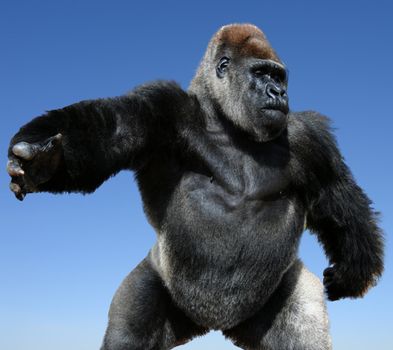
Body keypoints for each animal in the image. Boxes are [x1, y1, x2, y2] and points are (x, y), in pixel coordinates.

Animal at [7, 23, 384, 348]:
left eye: (278, 77)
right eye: (261, 74)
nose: (279, 92)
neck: (229, 122)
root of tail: (216, 324)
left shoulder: (310, 138)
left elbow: (337, 195)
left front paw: (353, 271)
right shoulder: (163, 106)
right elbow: (115, 129)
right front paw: (44, 160)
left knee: (301, 331)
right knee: (128, 334)